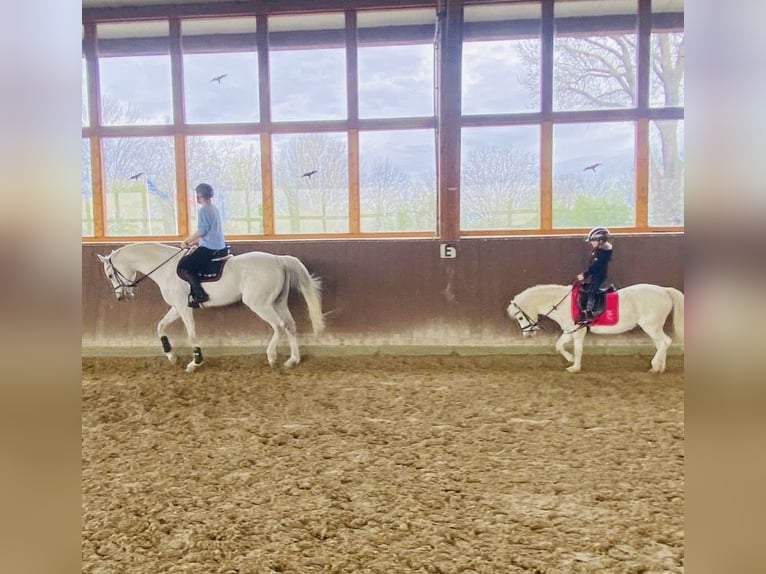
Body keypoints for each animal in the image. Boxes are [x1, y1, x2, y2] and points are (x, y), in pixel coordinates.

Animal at [97, 243, 326, 374]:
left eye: (110, 274)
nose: (121, 297)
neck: (166, 268)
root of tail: (278, 260)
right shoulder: (176, 307)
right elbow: (160, 326)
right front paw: (171, 355)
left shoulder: (183, 307)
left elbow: (191, 333)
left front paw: (195, 362)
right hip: (278, 302)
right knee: (290, 326)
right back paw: (292, 360)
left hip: (259, 304)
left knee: (278, 326)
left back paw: (271, 356)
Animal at [508, 286, 688, 376]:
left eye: (520, 317)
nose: (527, 334)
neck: (562, 303)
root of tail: (664, 290)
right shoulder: (569, 331)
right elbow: (558, 346)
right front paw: (571, 360)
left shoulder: (578, 332)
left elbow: (578, 349)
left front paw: (575, 367)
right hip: (654, 326)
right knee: (662, 344)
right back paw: (660, 368)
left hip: (650, 325)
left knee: (664, 342)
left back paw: (655, 366)